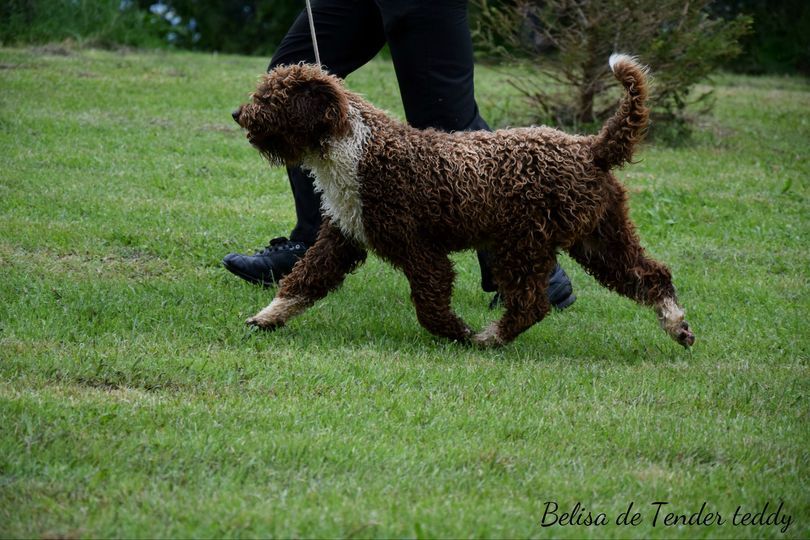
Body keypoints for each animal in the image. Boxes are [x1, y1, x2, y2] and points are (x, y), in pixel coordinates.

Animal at [234, 54, 696, 348]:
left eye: (271, 98)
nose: (238, 114)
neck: (358, 148)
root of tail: (590, 148)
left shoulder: (418, 249)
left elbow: (430, 305)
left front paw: (458, 333)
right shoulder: (342, 236)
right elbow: (303, 280)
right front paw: (267, 316)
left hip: (522, 243)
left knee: (531, 304)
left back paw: (490, 338)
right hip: (600, 237)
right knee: (651, 275)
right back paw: (677, 325)